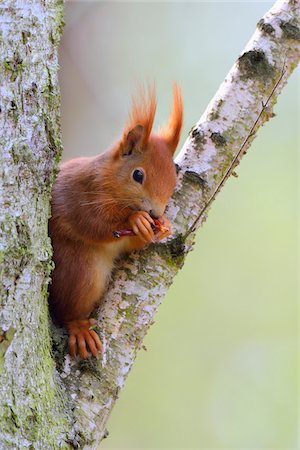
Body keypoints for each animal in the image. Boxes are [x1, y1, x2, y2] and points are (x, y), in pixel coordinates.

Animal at [48, 84, 183, 358]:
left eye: (174, 181)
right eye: (138, 175)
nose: (155, 213)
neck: (108, 180)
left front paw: (162, 228)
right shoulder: (80, 196)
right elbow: (93, 224)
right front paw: (136, 220)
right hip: (79, 271)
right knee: (68, 308)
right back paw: (79, 327)